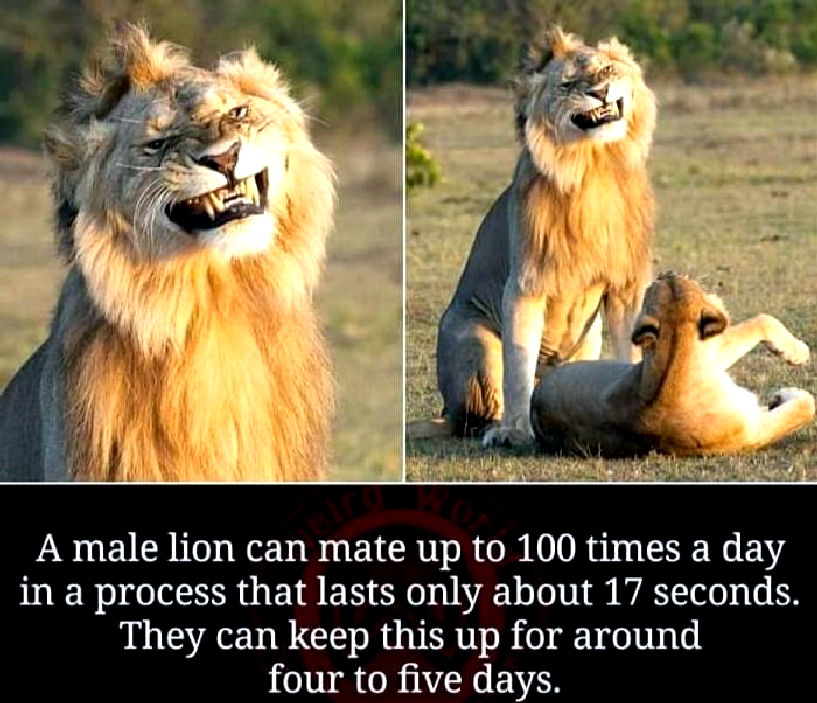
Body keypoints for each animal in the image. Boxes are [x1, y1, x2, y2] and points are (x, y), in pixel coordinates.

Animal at [410, 27, 656, 446]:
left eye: (607, 69)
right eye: (568, 84)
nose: (600, 92)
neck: (594, 168)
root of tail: (446, 411)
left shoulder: (626, 287)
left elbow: (632, 352)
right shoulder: (525, 284)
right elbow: (519, 368)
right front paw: (515, 432)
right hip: (474, 338)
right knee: (479, 413)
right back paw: (495, 428)